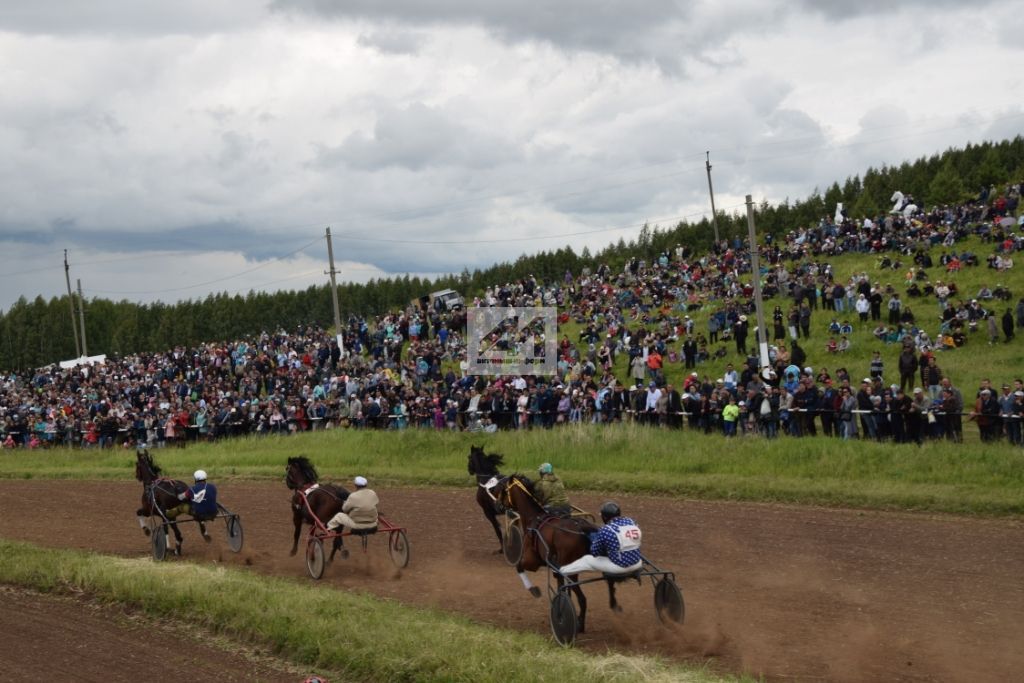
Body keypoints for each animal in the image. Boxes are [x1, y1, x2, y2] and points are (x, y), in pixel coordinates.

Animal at [491, 473, 602, 634]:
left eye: (502, 487)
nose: (496, 504)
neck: (534, 518)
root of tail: (582, 528)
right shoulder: (553, 567)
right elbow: (561, 586)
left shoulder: (532, 561)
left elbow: (518, 567)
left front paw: (534, 590)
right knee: (582, 598)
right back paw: (580, 624)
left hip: (570, 570)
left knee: (582, 597)